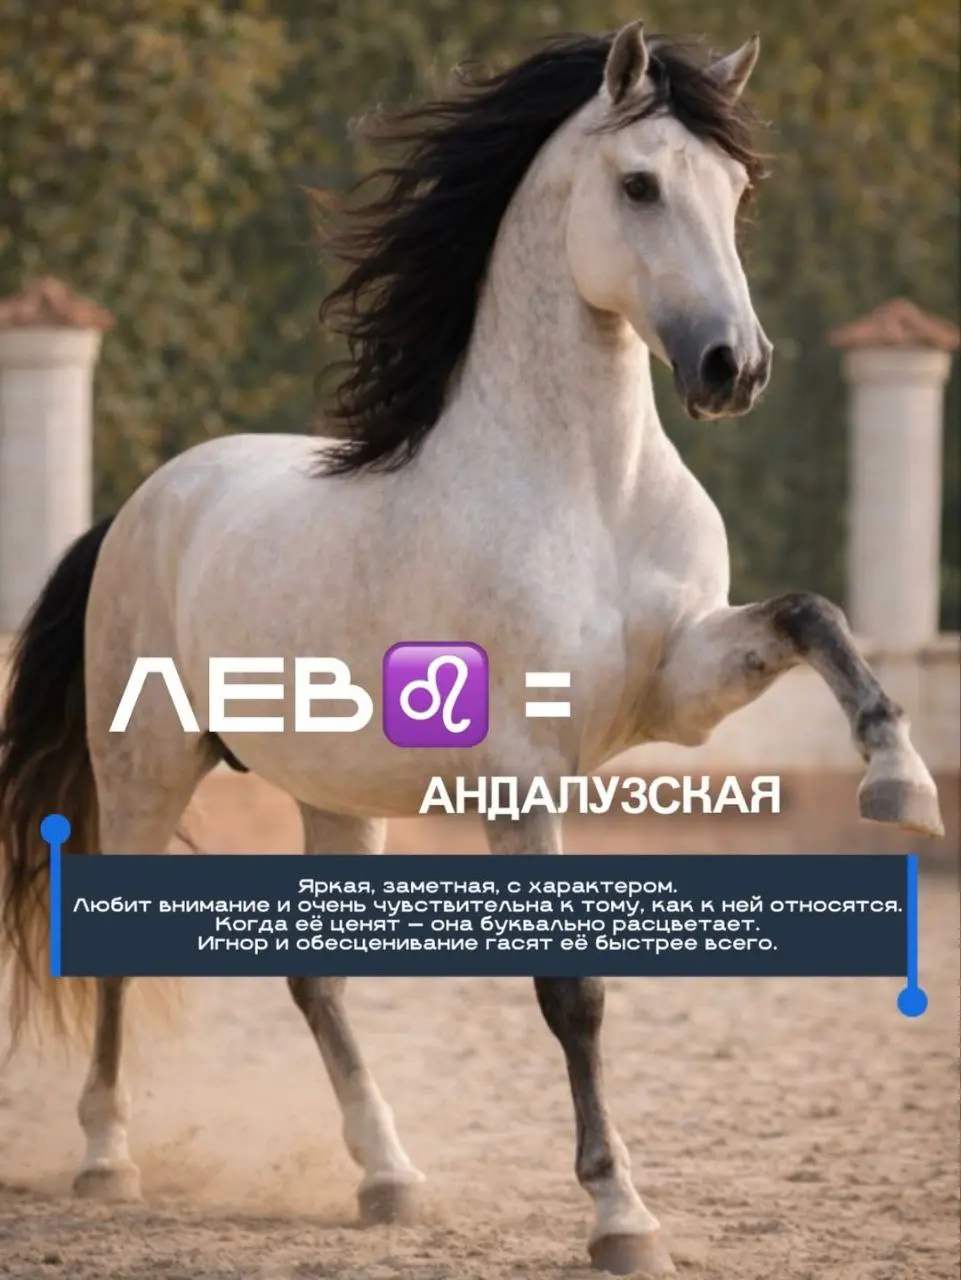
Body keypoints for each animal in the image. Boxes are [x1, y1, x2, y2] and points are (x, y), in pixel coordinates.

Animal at [0, 22, 943, 1278]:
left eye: (736, 192)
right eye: (637, 184)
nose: (732, 369)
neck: (586, 488)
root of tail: (141, 505)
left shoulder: (682, 690)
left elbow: (811, 613)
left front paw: (902, 783)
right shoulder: (519, 770)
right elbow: (570, 986)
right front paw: (619, 1215)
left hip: (336, 794)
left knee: (318, 973)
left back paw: (388, 1176)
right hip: (144, 766)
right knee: (117, 940)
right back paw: (108, 1159)